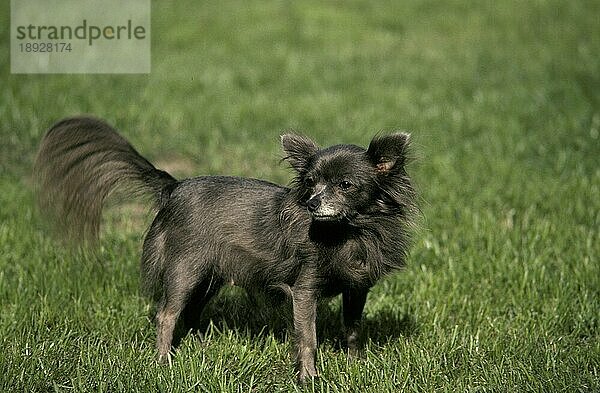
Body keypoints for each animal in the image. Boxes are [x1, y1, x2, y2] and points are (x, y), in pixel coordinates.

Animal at [34, 115, 418, 380]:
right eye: (310, 183)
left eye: (345, 185)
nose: (311, 202)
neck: (350, 231)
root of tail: (174, 187)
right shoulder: (304, 290)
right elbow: (306, 337)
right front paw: (309, 377)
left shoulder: (358, 289)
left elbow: (352, 329)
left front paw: (355, 365)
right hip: (186, 270)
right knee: (166, 314)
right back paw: (164, 361)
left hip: (209, 277)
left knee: (189, 313)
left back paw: (195, 347)